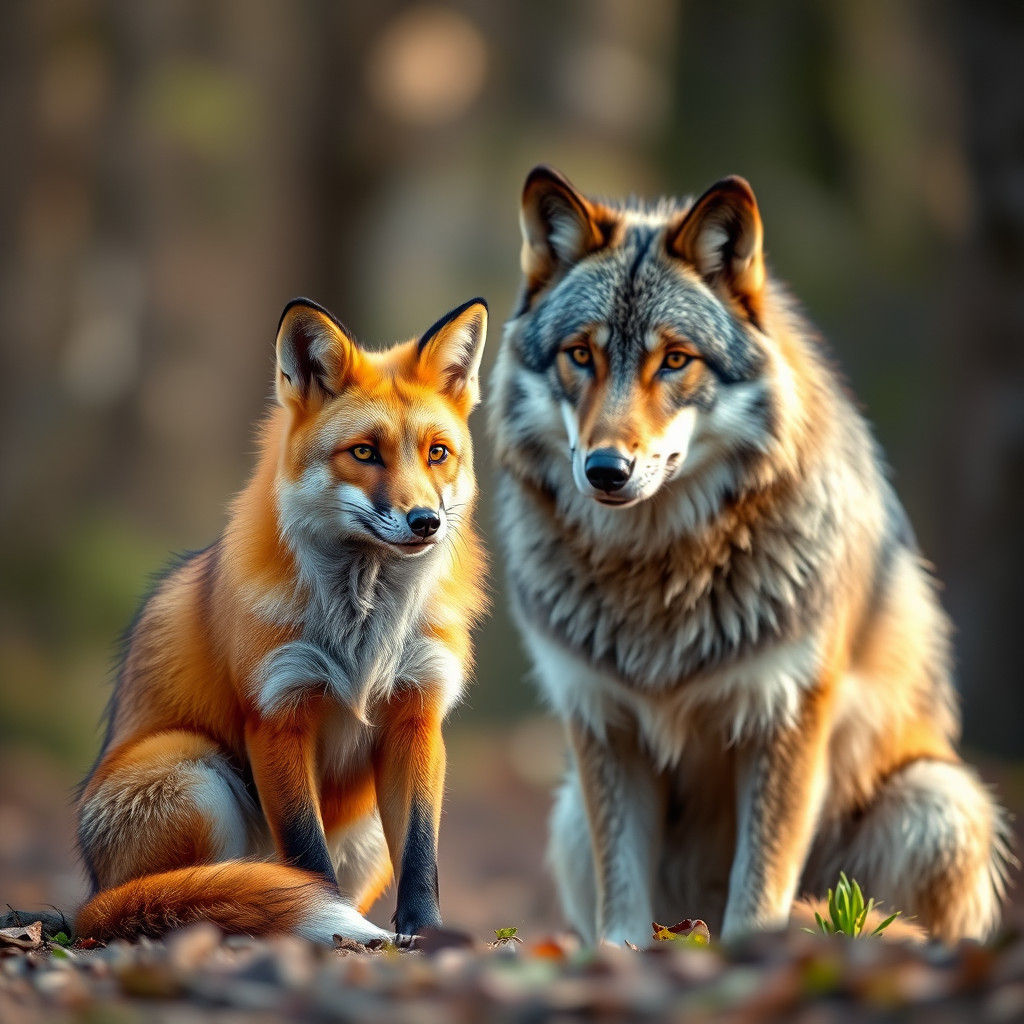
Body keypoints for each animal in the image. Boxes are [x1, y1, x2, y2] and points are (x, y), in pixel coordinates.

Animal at [75, 296, 488, 945]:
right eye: (364, 452)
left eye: (437, 453)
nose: (425, 521)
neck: (362, 630)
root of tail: (91, 898)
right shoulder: (277, 713)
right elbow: (306, 854)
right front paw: (322, 915)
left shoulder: (417, 713)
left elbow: (422, 852)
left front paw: (424, 932)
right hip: (191, 768)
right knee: (197, 888)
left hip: (367, 831)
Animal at [489, 165, 1014, 945]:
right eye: (580, 354)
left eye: (674, 360)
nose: (606, 470)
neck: (659, 577)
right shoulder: (603, 722)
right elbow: (623, 906)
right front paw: (620, 957)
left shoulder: (786, 717)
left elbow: (758, 889)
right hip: (570, 817)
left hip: (939, 801)